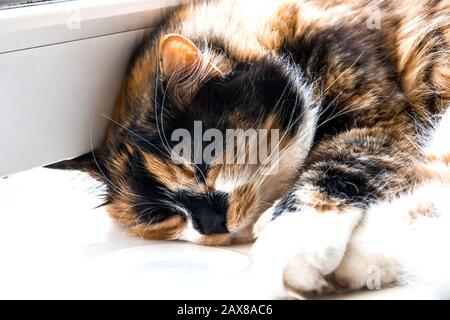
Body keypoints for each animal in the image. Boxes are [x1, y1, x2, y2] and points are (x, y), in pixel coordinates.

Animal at [51, 1, 450, 298]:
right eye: (159, 217)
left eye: (202, 164)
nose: (211, 225)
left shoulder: (376, 123)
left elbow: (334, 171)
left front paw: (288, 248)